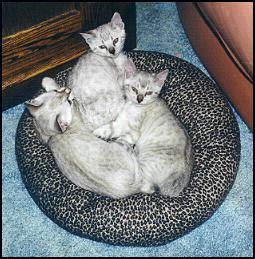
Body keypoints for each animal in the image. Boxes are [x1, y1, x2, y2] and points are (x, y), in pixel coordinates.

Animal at [25, 78, 154, 200]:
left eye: (57, 92)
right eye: (68, 102)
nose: (68, 89)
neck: (52, 136)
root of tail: (131, 188)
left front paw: (47, 81)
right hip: (117, 146)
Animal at [92, 59, 192, 197]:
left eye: (148, 92)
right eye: (134, 89)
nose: (139, 99)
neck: (132, 107)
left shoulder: (134, 134)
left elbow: (121, 138)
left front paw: (116, 143)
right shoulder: (119, 123)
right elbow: (109, 128)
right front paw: (97, 131)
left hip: (146, 163)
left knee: (144, 185)